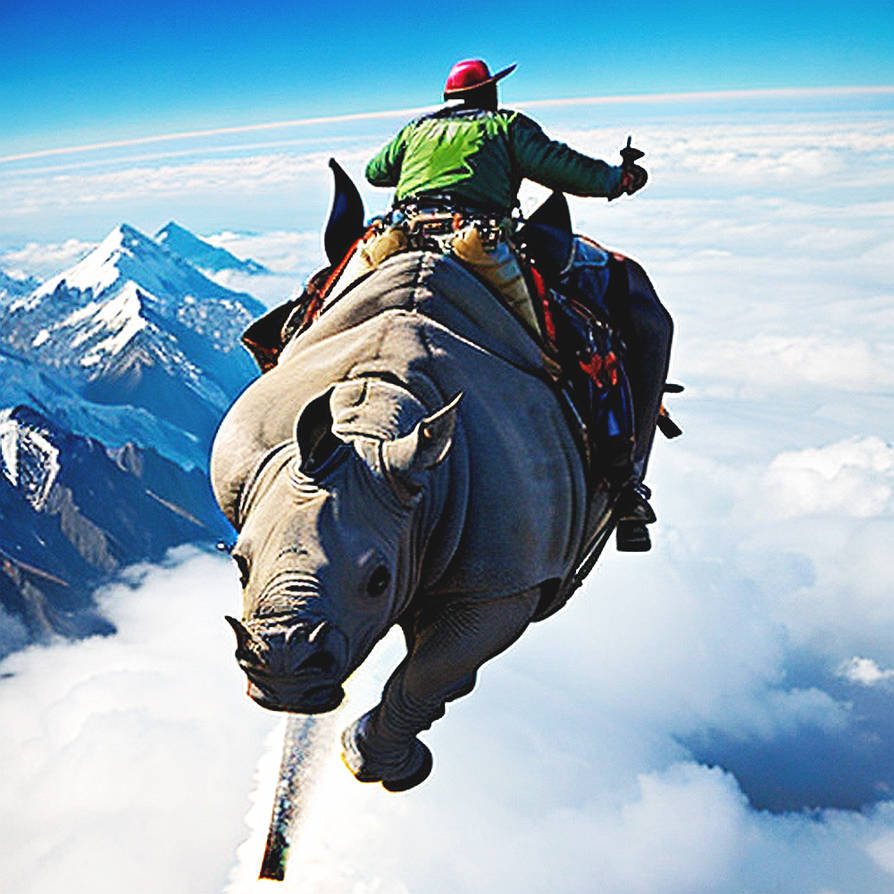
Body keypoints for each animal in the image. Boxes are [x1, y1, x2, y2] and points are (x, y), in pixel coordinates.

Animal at [211, 242, 626, 791]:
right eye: (239, 566)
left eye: (378, 581)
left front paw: (374, 762)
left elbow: (429, 671)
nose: (284, 674)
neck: (372, 421)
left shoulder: (506, 577)